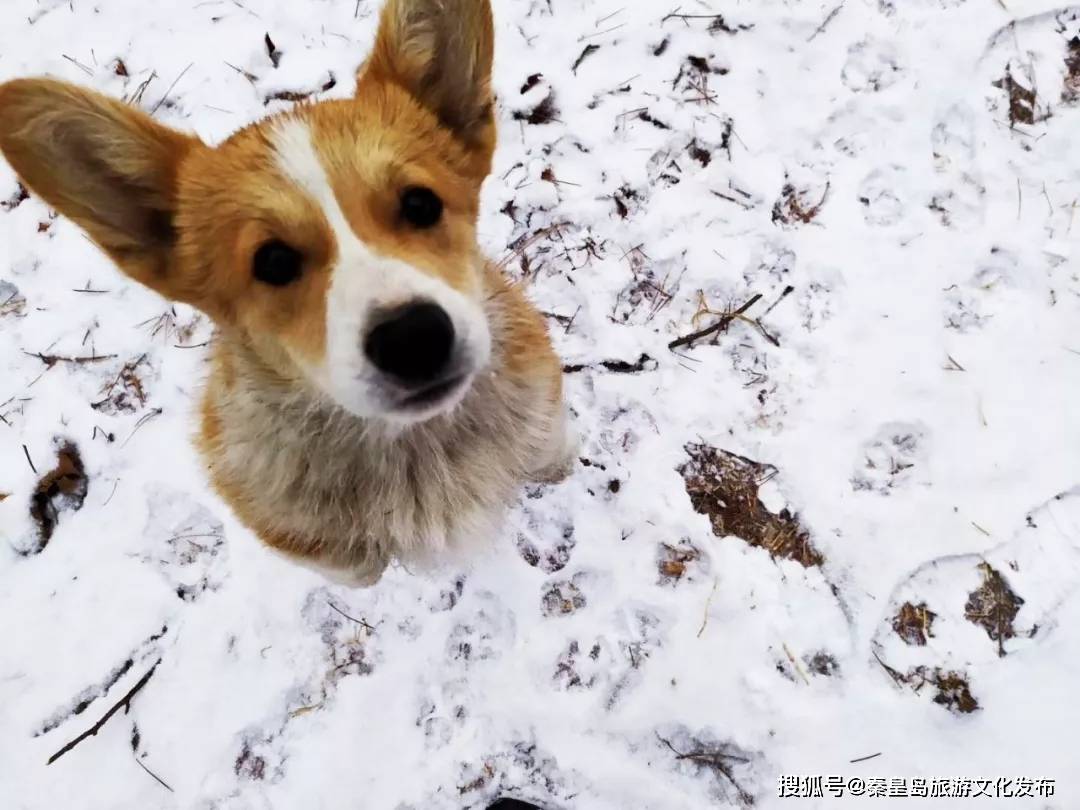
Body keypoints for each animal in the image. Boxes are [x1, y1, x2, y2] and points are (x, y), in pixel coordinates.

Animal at [0, 0, 574, 587]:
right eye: (272, 262)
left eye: (421, 204)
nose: (413, 338)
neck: (417, 445)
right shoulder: (328, 554)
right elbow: (358, 571)